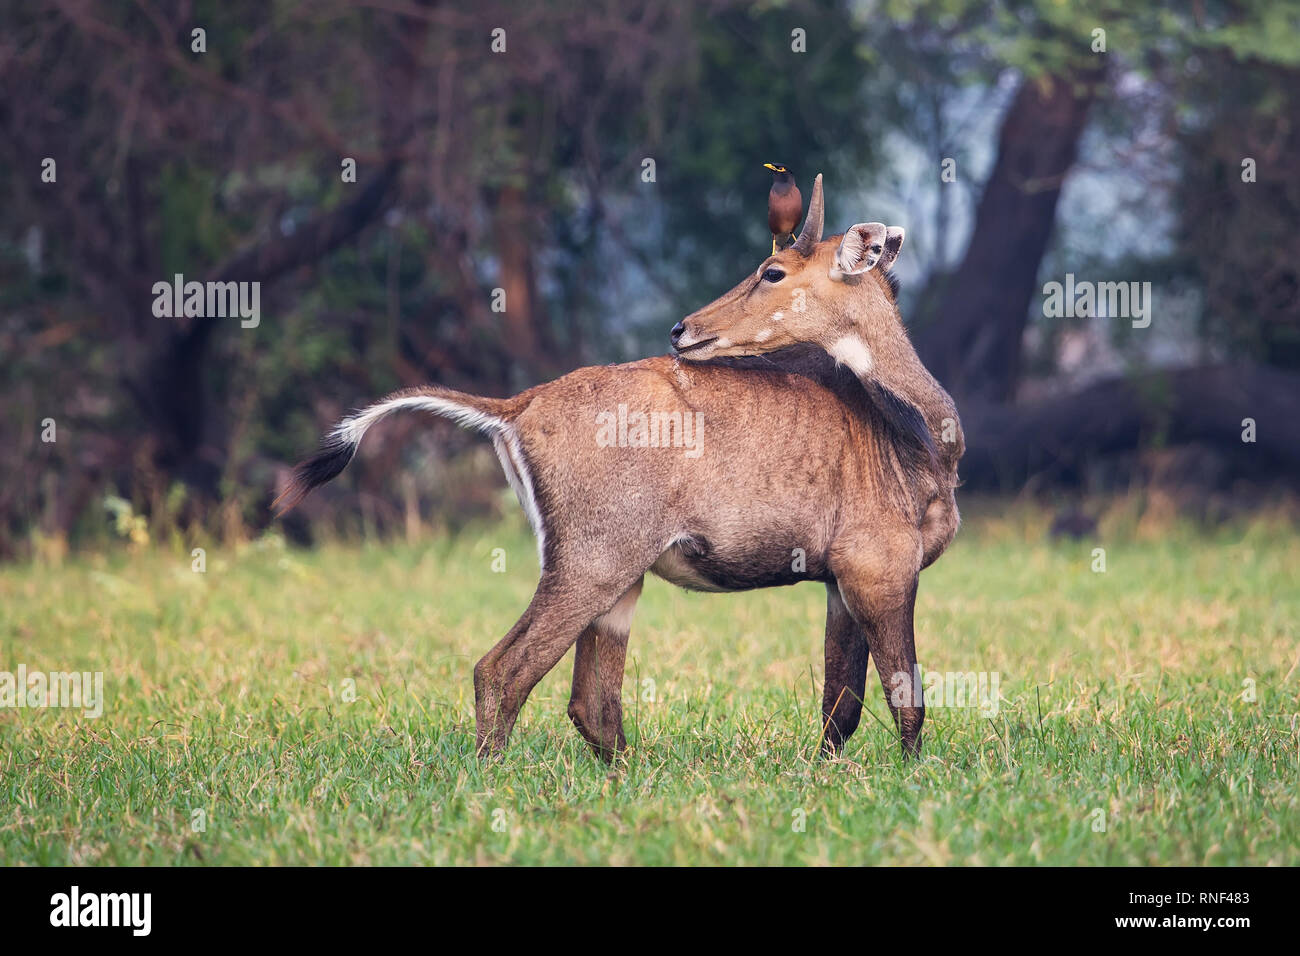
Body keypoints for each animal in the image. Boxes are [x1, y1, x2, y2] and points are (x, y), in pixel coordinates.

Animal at [276, 175, 967, 764]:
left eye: (772, 271)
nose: (681, 328)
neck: (914, 434)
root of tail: (513, 408)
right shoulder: (879, 567)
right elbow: (906, 699)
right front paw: (911, 777)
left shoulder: (838, 583)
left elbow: (839, 705)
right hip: (594, 561)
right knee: (503, 670)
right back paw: (491, 775)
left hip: (619, 578)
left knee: (590, 700)